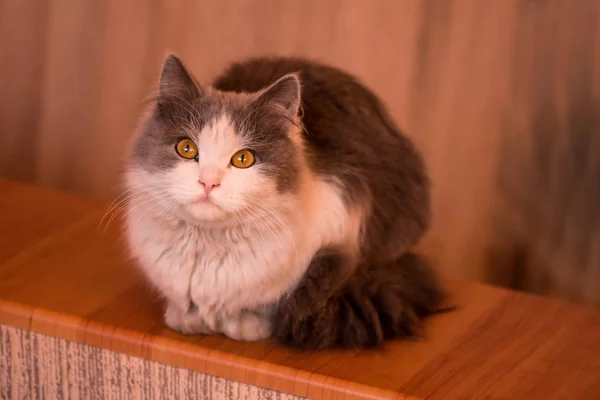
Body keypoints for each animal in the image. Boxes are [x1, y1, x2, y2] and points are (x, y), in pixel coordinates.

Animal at [124, 54, 448, 350]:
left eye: (243, 159)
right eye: (186, 148)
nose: (208, 182)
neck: (208, 247)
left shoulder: (341, 221)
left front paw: (243, 323)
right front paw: (187, 317)